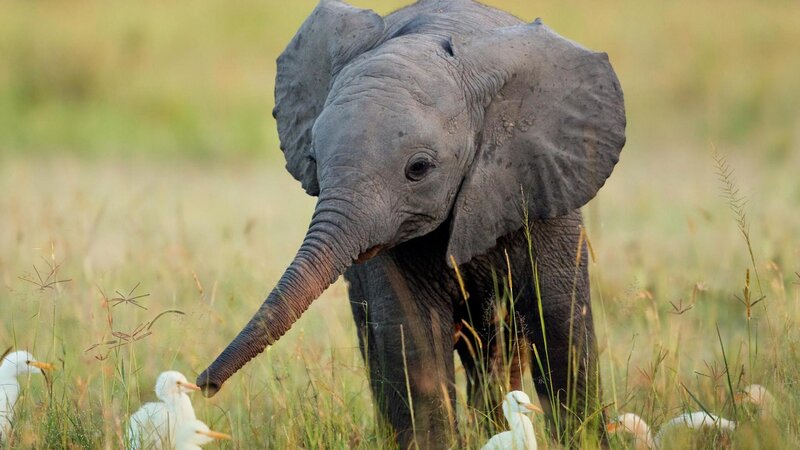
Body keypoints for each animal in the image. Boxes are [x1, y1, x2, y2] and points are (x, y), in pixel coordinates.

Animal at [197, 0, 626, 448]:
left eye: (418, 168)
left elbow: (559, 323)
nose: (204, 385)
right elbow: (412, 338)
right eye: (313, 159)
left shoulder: (543, 182)